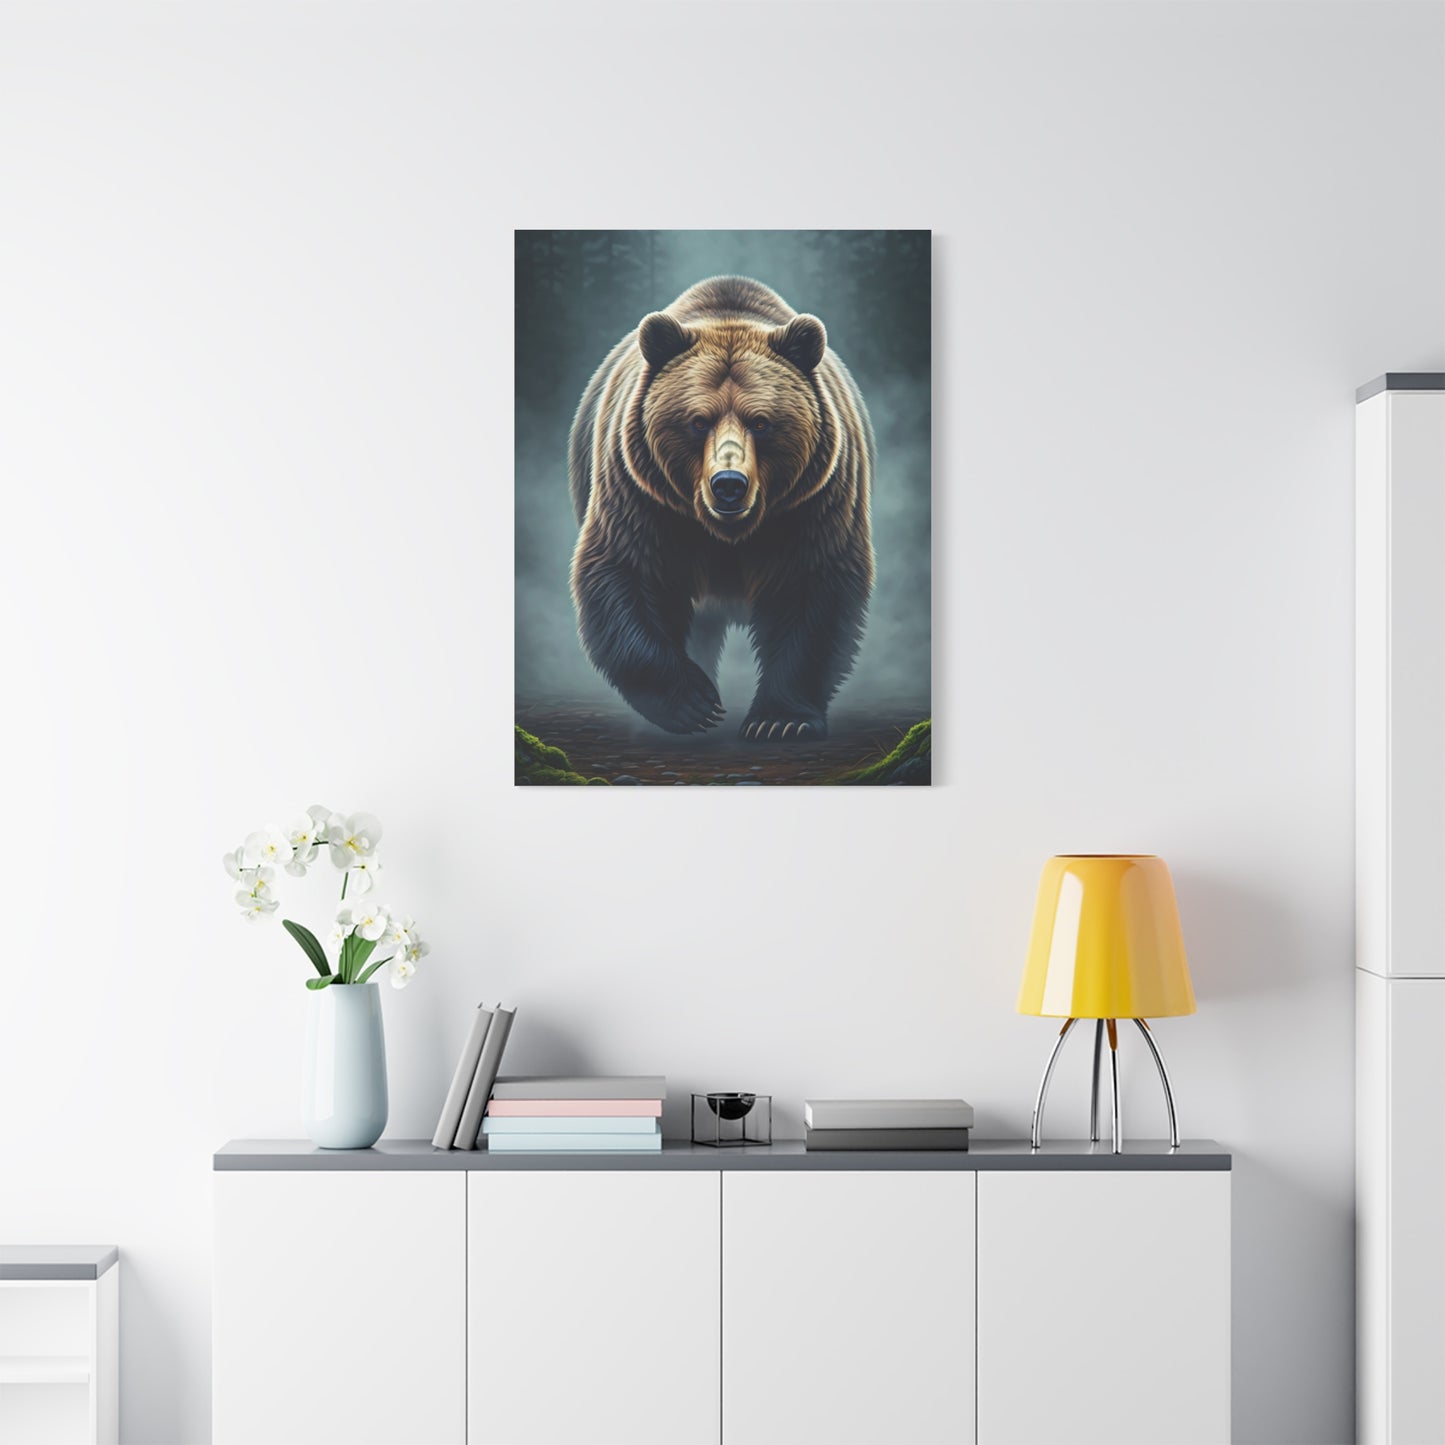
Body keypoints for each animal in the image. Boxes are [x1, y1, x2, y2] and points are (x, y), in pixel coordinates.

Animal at [568, 275, 875, 739]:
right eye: (698, 421)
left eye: (761, 422)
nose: (729, 484)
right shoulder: (642, 495)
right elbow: (625, 572)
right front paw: (695, 704)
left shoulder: (814, 501)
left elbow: (814, 589)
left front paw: (780, 721)